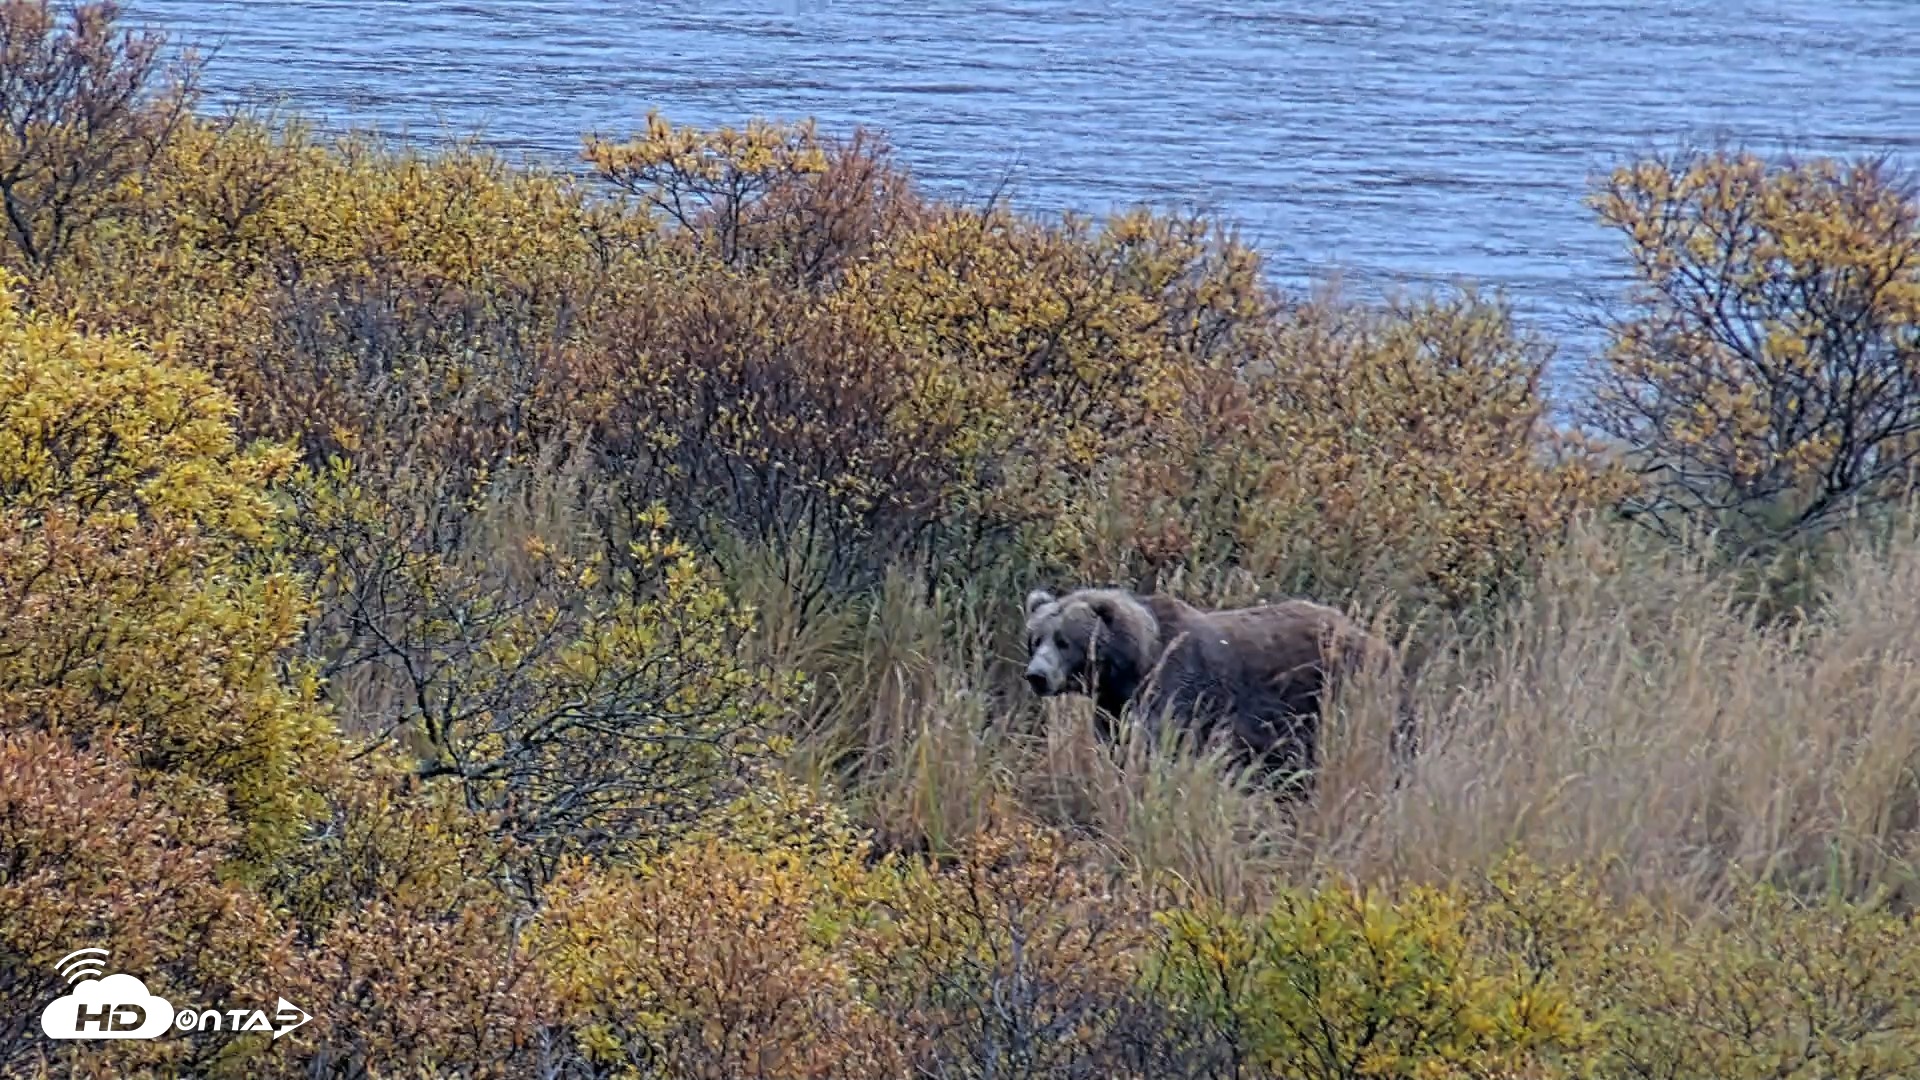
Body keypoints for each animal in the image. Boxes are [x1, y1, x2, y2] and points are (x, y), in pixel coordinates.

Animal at [1021, 586, 1413, 786]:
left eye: (1063, 641)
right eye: (1035, 639)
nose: (1036, 675)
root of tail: (1382, 645)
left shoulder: (1176, 693)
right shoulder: (1113, 707)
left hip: (1342, 694)